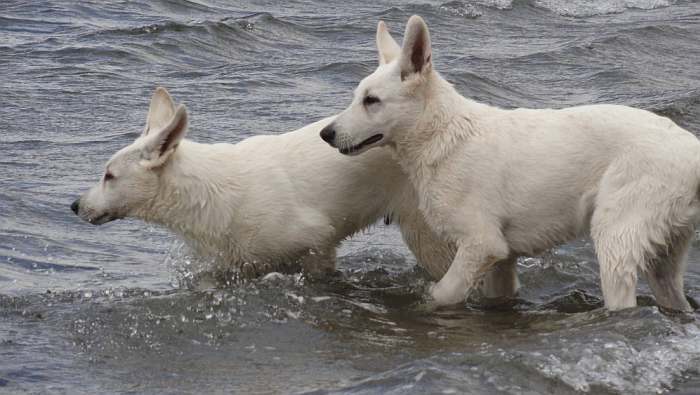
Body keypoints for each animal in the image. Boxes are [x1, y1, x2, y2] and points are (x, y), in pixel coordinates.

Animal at [322, 16, 700, 312]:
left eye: (372, 101)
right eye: (357, 97)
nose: (326, 133)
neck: (443, 135)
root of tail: (691, 148)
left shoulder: (481, 244)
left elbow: (441, 294)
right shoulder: (501, 260)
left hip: (615, 234)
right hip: (666, 255)